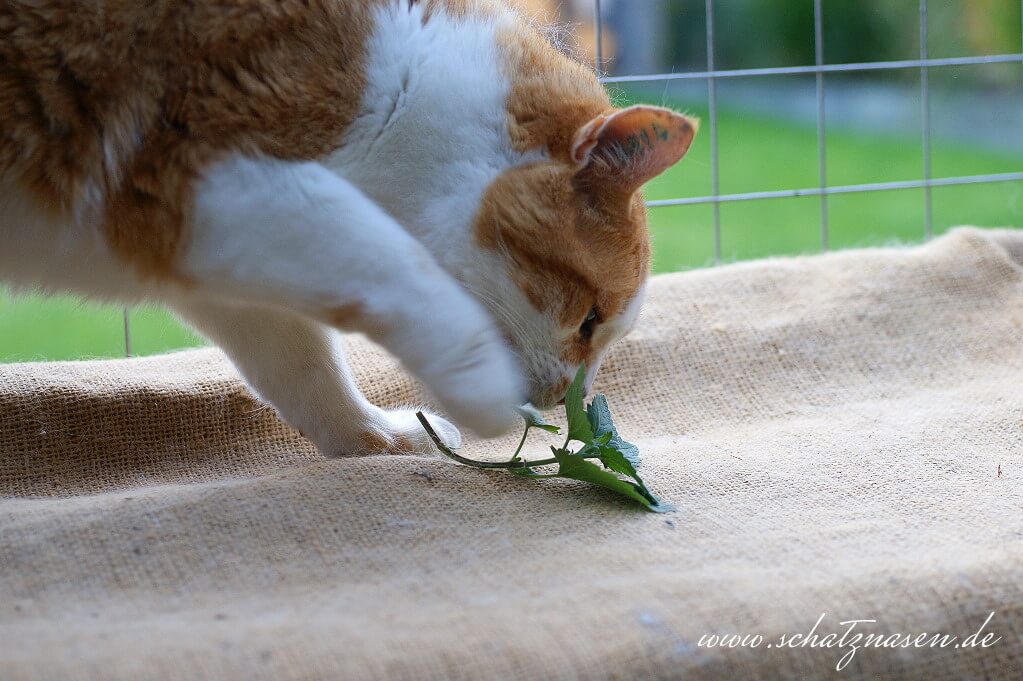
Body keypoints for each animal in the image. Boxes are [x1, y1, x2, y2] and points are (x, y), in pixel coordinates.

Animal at [0, 1, 695, 456]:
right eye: (588, 320)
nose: (557, 401)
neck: (399, 90)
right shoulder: (201, 174)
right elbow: (401, 273)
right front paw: (484, 391)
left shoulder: (216, 248)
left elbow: (302, 362)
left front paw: (371, 435)